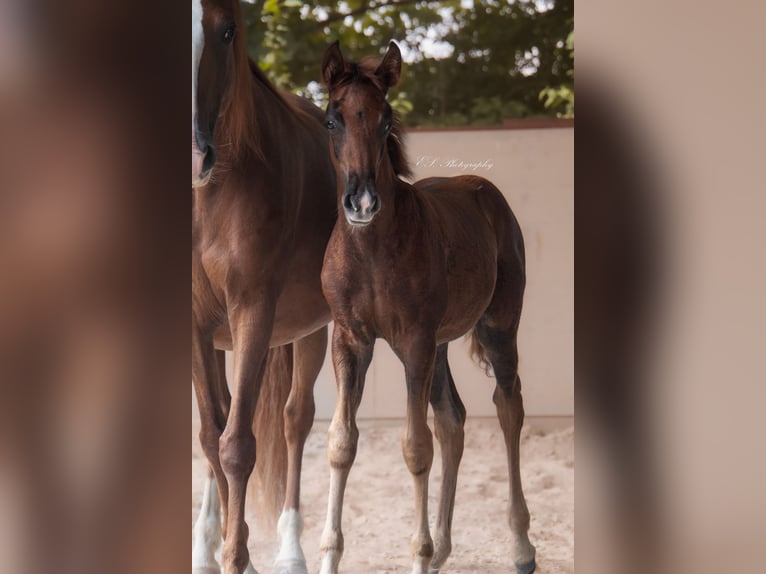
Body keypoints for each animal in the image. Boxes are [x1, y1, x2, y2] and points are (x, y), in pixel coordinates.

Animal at [192, 2, 336, 572]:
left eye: (228, 31)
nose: (196, 155)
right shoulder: (195, 325)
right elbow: (213, 436)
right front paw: (230, 550)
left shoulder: (253, 309)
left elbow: (237, 446)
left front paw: (240, 557)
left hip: (315, 330)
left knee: (296, 420)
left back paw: (291, 551)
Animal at [318, 42, 540, 574]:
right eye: (332, 119)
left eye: (386, 120)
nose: (362, 202)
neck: (371, 252)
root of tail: (486, 192)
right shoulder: (349, 340)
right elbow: (341, 442)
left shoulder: (414, 341)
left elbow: (416, 447)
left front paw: (417, 552)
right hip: (439, 345)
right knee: (452, 418)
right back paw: (441, 548)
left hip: (499, 326)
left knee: (508, 407)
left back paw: (521, 547)